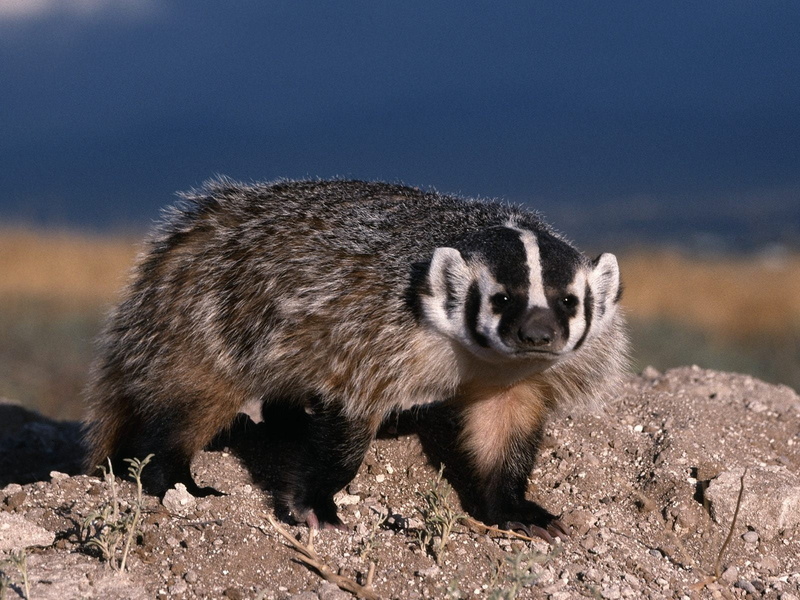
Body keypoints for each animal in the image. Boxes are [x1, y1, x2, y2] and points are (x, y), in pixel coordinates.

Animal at [83, 178, 627, 541]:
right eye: (502, 298)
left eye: (567, 300)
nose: (537, 333)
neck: (477, 357)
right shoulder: (370, 335)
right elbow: (348, 416)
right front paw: (317, 506)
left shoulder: (514, 378)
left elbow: (505, 429)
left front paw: (520, 511)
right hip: (205, 322)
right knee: (193, 403)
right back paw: (180, 481)